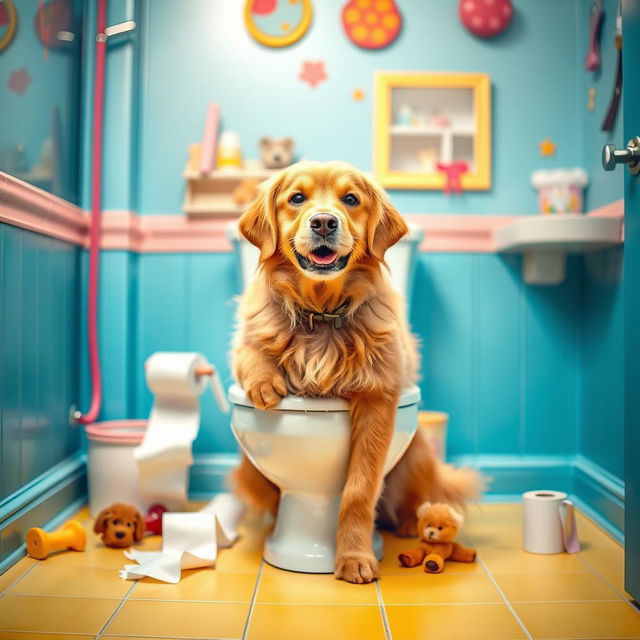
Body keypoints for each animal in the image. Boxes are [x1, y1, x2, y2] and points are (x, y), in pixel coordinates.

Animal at [232, 161, 482, 584]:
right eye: (296, 198)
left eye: (350, 199)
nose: (323, 222)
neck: (321, 312)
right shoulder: (247, 340)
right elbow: (251, 351)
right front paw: (266, 382)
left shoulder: (378, 402)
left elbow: (359, 492)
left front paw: (354, 558)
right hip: (251, 471)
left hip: (415, 455)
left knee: (416, 499)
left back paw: (412, 524)